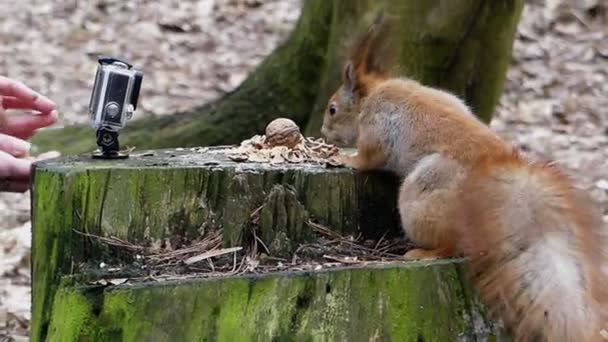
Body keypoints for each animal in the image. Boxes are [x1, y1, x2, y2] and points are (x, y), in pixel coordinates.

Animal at [320, 14, 604, 340]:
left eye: (332, 109)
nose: (322, 132)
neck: (371, 98)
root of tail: (490, 164)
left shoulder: (376, 131)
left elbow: (366, 159)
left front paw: (341, 157)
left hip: (423, 193)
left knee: (451, 245)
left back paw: (422, 253)